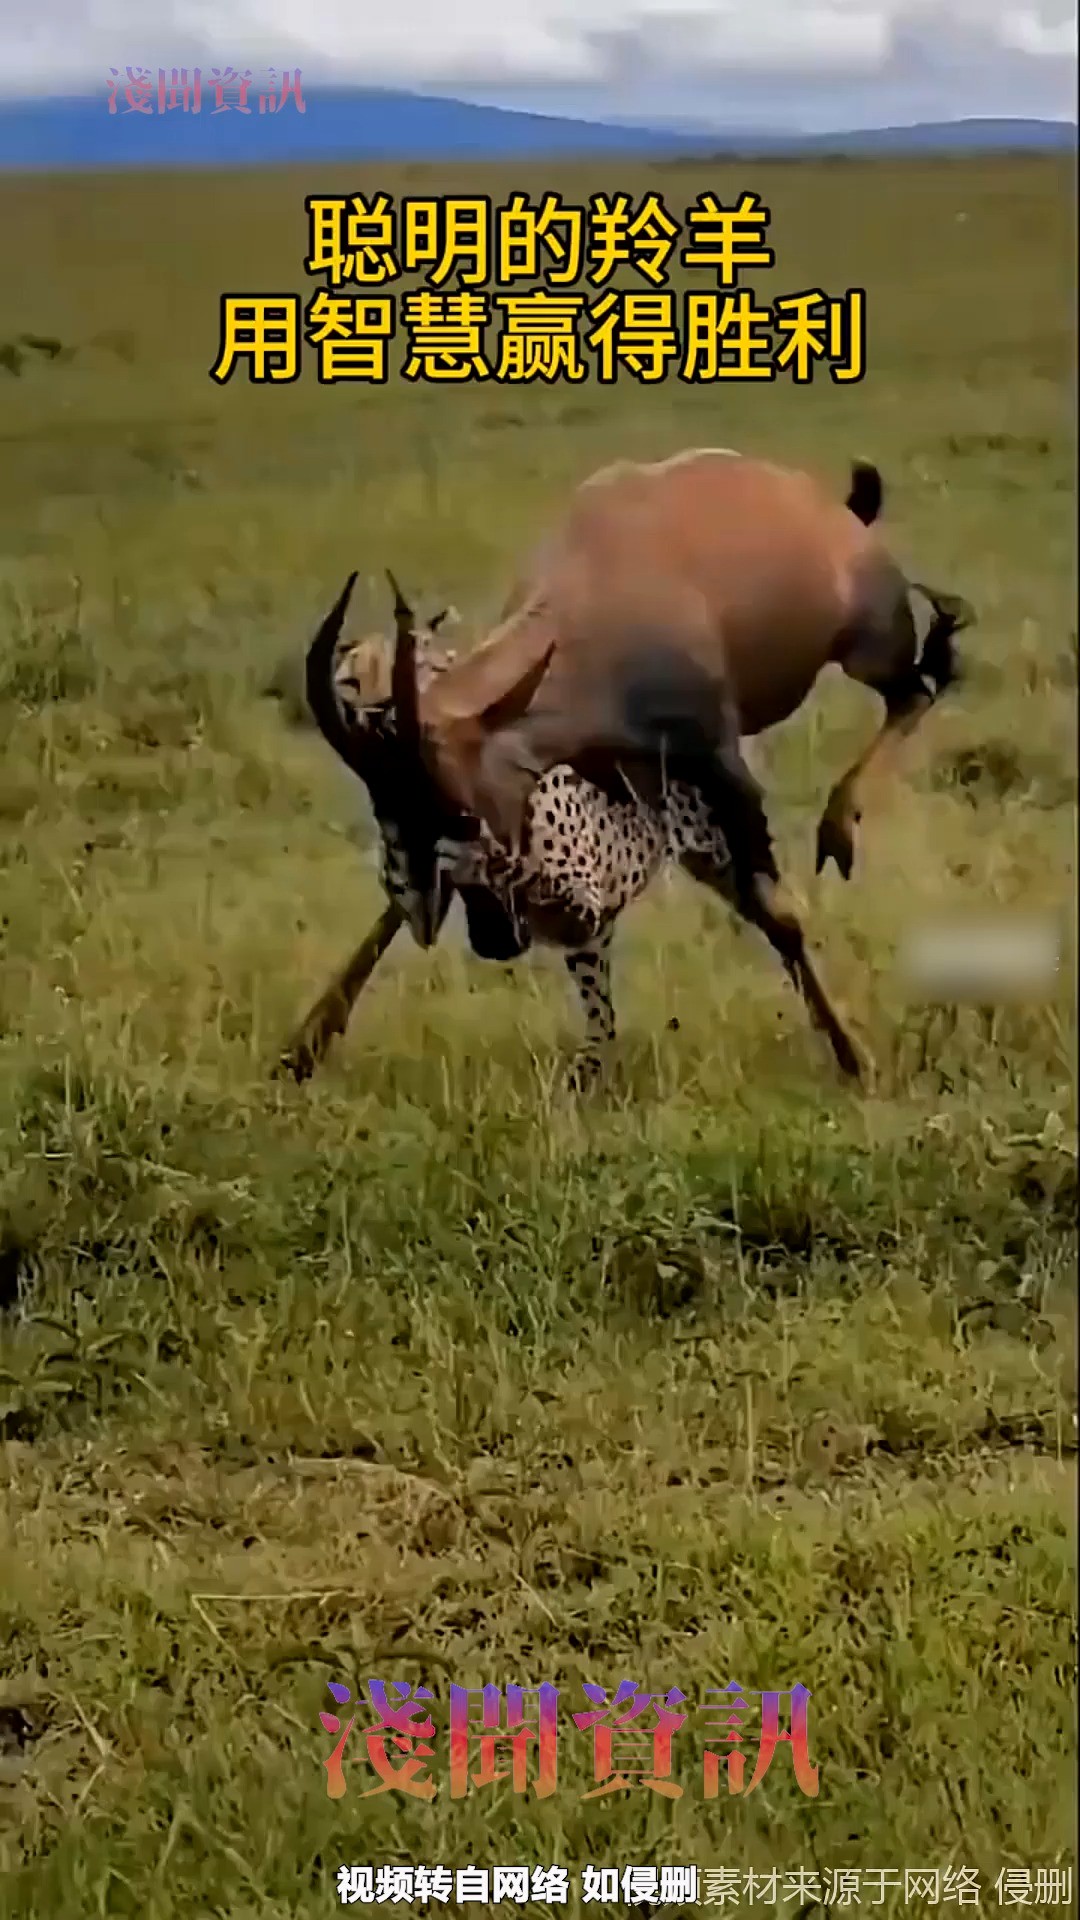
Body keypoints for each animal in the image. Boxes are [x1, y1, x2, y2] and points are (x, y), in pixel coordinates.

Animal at [274, 439, 968, 1090]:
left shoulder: (716, 761)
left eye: (464, 814)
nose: (496, 941)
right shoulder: (610, 776)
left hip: (868, 648)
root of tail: (833, 509)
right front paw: (299, 1051)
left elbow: (777, 911)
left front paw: (857, 1060)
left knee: (922, 684)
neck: (598, 581)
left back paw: (838, 829)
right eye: (392, 820)